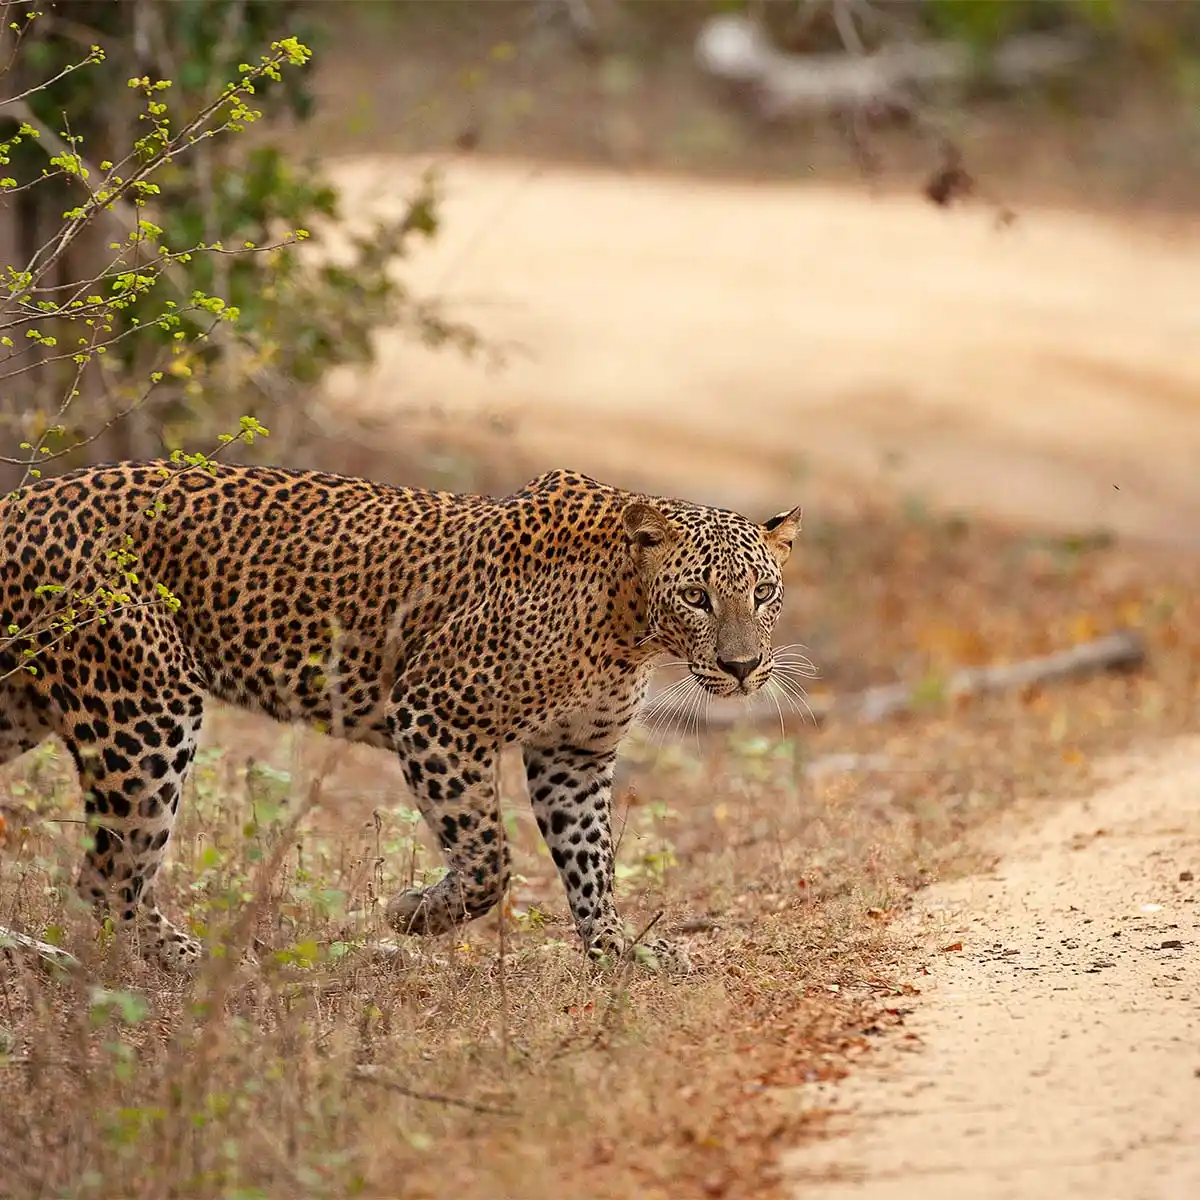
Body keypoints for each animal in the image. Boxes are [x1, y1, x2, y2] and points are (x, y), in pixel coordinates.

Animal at [0, 460, 801, 975]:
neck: (629, 623)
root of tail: (19, 503)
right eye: (697, 597)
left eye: (763, 593)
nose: (741, 668)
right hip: (147, 709)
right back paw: (197, 962)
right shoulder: (436, 713)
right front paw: (412, 916)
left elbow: (591, 860)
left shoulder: (574, 755)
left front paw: (617, 949)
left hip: (24, 707)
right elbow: (489, 860)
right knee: (107, 876)